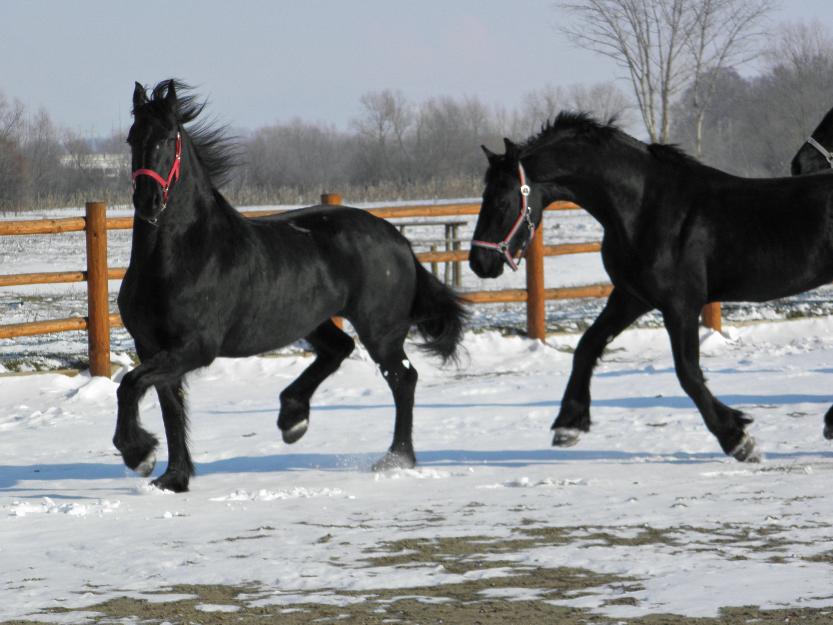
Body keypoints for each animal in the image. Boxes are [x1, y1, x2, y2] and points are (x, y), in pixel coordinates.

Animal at [115, 78, 468, 490]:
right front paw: (172, 477)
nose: (149, 200)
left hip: (380, 328)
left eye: (169, 137)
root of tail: (397, 239)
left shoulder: (195, 347)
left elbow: (131, 385)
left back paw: (396, 458)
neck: (183, 255)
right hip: (312, 320)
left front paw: (138, 453)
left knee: (402, 377)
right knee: (339, 349)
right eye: (132, 137)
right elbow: (167, 405)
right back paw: (293, 419)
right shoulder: (152, 346)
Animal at [472, 111, 833, 464]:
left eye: (501, 201)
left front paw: (738, 440)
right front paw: (568, 425)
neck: (646, 208)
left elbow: (688, 372)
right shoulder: (632, 297)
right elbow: (587, 347)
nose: (479, 262)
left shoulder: (680, 304)